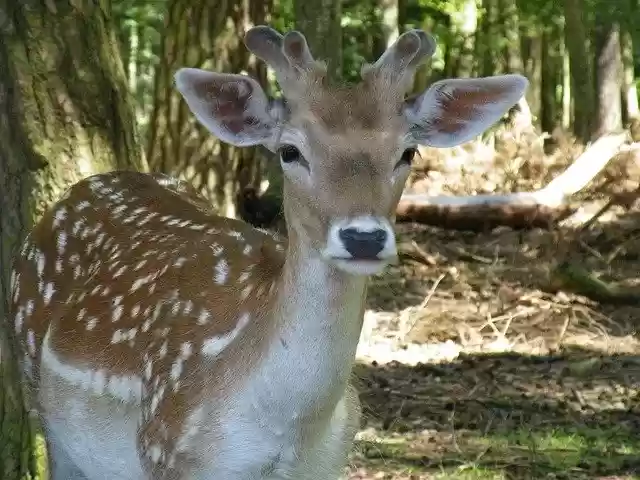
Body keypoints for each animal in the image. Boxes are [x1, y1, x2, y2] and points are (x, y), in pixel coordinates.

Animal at [9, 25, 527, 480]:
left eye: (408, 153)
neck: (288, 428)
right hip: (42, 398)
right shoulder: (169, 449)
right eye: (290, 151)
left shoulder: (328, 463)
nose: (363, 237)